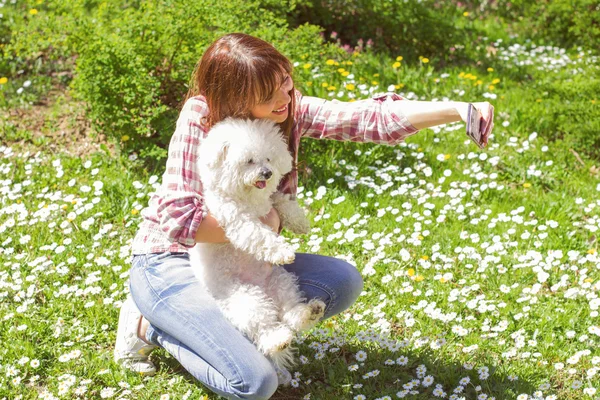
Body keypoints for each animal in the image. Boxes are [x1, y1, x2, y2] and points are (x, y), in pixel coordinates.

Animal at [190, 117, 326, 370]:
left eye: (269, 158)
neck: (248, 198)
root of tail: (263, 290)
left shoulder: (272, 201)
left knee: (290, 313)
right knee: (264, 326)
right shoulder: (238, 220)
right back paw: (278, 339)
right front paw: (282, 251)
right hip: (246, 298)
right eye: (249, 161)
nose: (267, 173)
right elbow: (259, 235)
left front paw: (300, 222)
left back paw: (308, 312)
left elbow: (283, 202)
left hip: (281, 282)